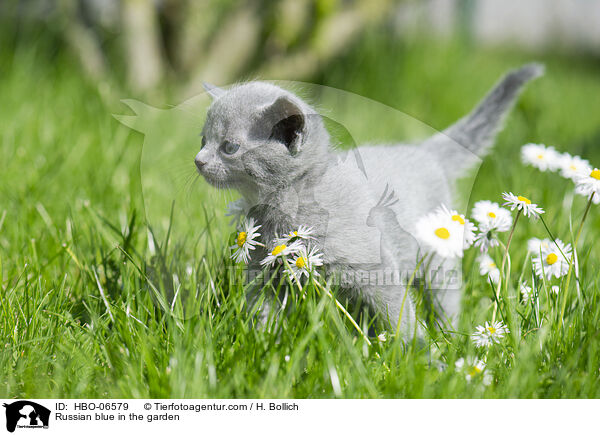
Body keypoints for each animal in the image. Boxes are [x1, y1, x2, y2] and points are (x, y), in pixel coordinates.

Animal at [196, 64, 544, 336]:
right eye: (203, 140)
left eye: (229, 147)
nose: (198, 160)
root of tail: (423, 151)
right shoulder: (263, 269)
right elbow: (261, 311)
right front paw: (264, 342)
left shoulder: (375, 267)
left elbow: (398, 313)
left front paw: (421, 355)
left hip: (436, 258)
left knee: (445, 297)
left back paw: (447, 336)